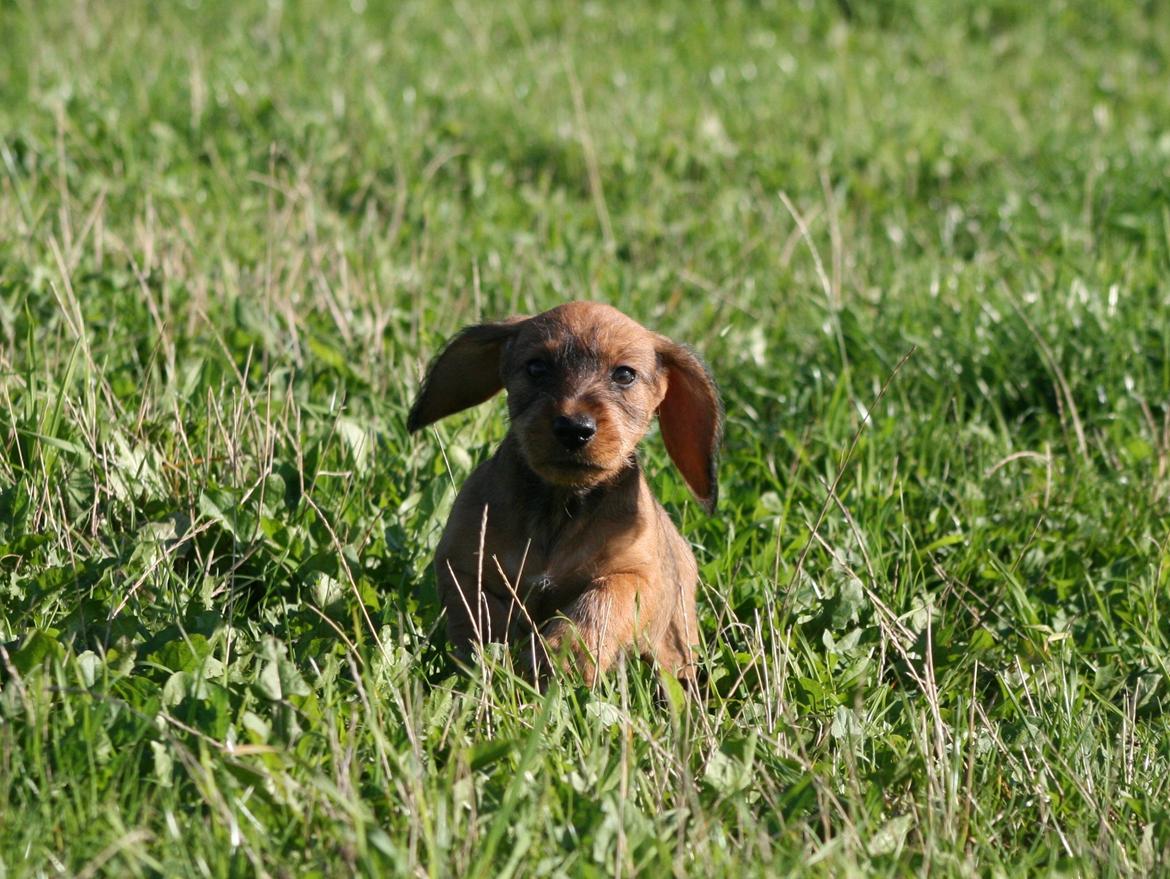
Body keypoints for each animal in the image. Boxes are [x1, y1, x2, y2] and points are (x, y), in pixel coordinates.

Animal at [409, 301, 720, 692]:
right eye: (537, 367)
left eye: (624, 375)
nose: (574, 429)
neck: (560, 507)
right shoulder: (465, 566)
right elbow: (484, 618)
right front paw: (498, 668)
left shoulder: (639, 575)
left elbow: (603, 601)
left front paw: (564, 654)